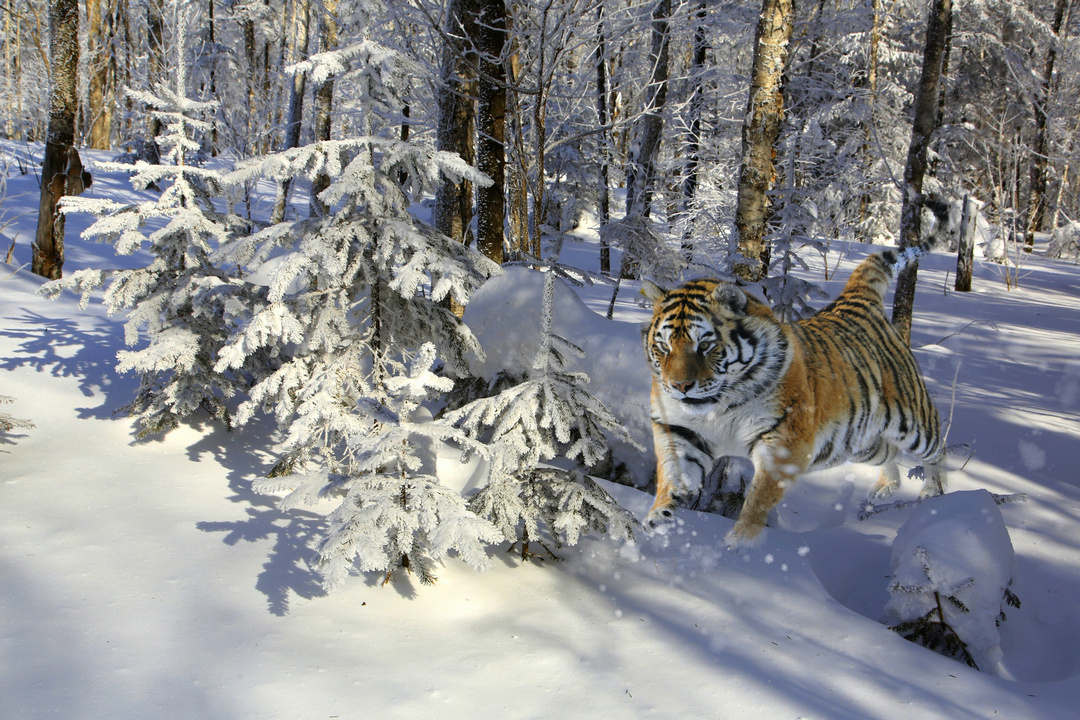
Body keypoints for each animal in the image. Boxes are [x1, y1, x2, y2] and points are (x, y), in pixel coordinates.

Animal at [643, 199, 950, 548]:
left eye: (705, 346)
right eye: (664, 347)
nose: (680, 386)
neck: (717, 407)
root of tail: (856, 299)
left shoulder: (784, 441)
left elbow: (759, 498)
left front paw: (739, 544)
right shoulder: (679, 430)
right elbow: (673, 475)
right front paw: (658, 522)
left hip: (913, 422)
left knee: (937, 450)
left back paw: (934, 494)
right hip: (857, 441)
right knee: (889, 451)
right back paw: (887, 486)